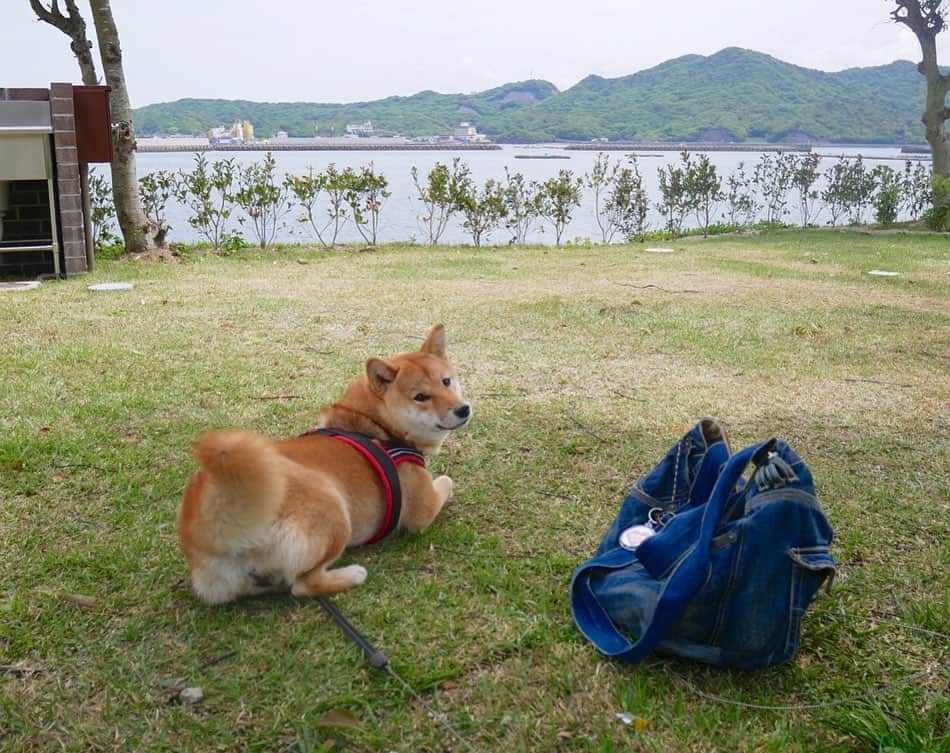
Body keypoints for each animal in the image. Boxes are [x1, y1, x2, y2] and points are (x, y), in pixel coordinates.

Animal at [176, 324, 472, 604]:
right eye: (421, 397)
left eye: (447, 381)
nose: (463, 409)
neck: (376, 426)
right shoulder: (422, 510)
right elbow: (446, 482)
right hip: (335, 514)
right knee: (302, 585)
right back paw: (352, 574)